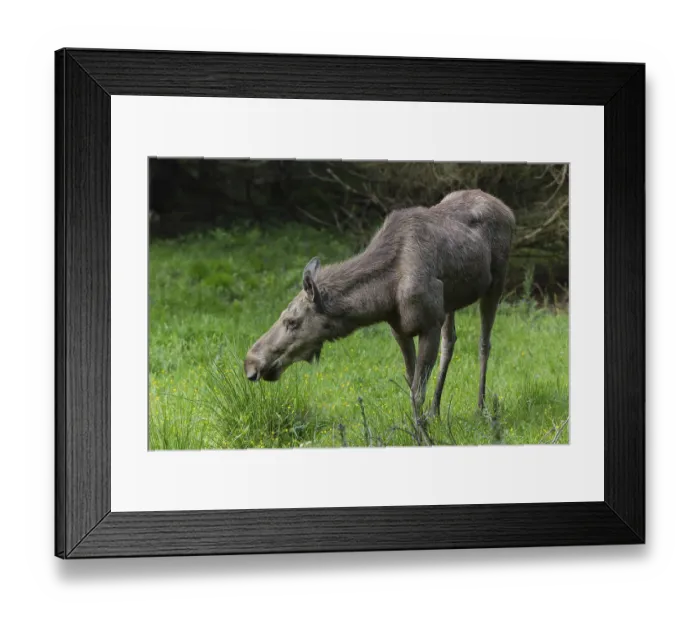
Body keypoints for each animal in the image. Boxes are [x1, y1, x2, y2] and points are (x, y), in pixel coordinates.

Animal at [244, 189, 516, 444]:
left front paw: (426, 438)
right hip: (451, 302)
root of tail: (508, 210)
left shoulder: (429, 325)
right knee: (450, 343)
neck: (384, 295)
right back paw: (435, 411)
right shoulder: (400, 330)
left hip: (496, 282)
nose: (251, 363)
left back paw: (481, 409)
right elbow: (411, 384)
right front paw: (418, 430)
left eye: (292, 321)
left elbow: (417, 391)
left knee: (484, 343)